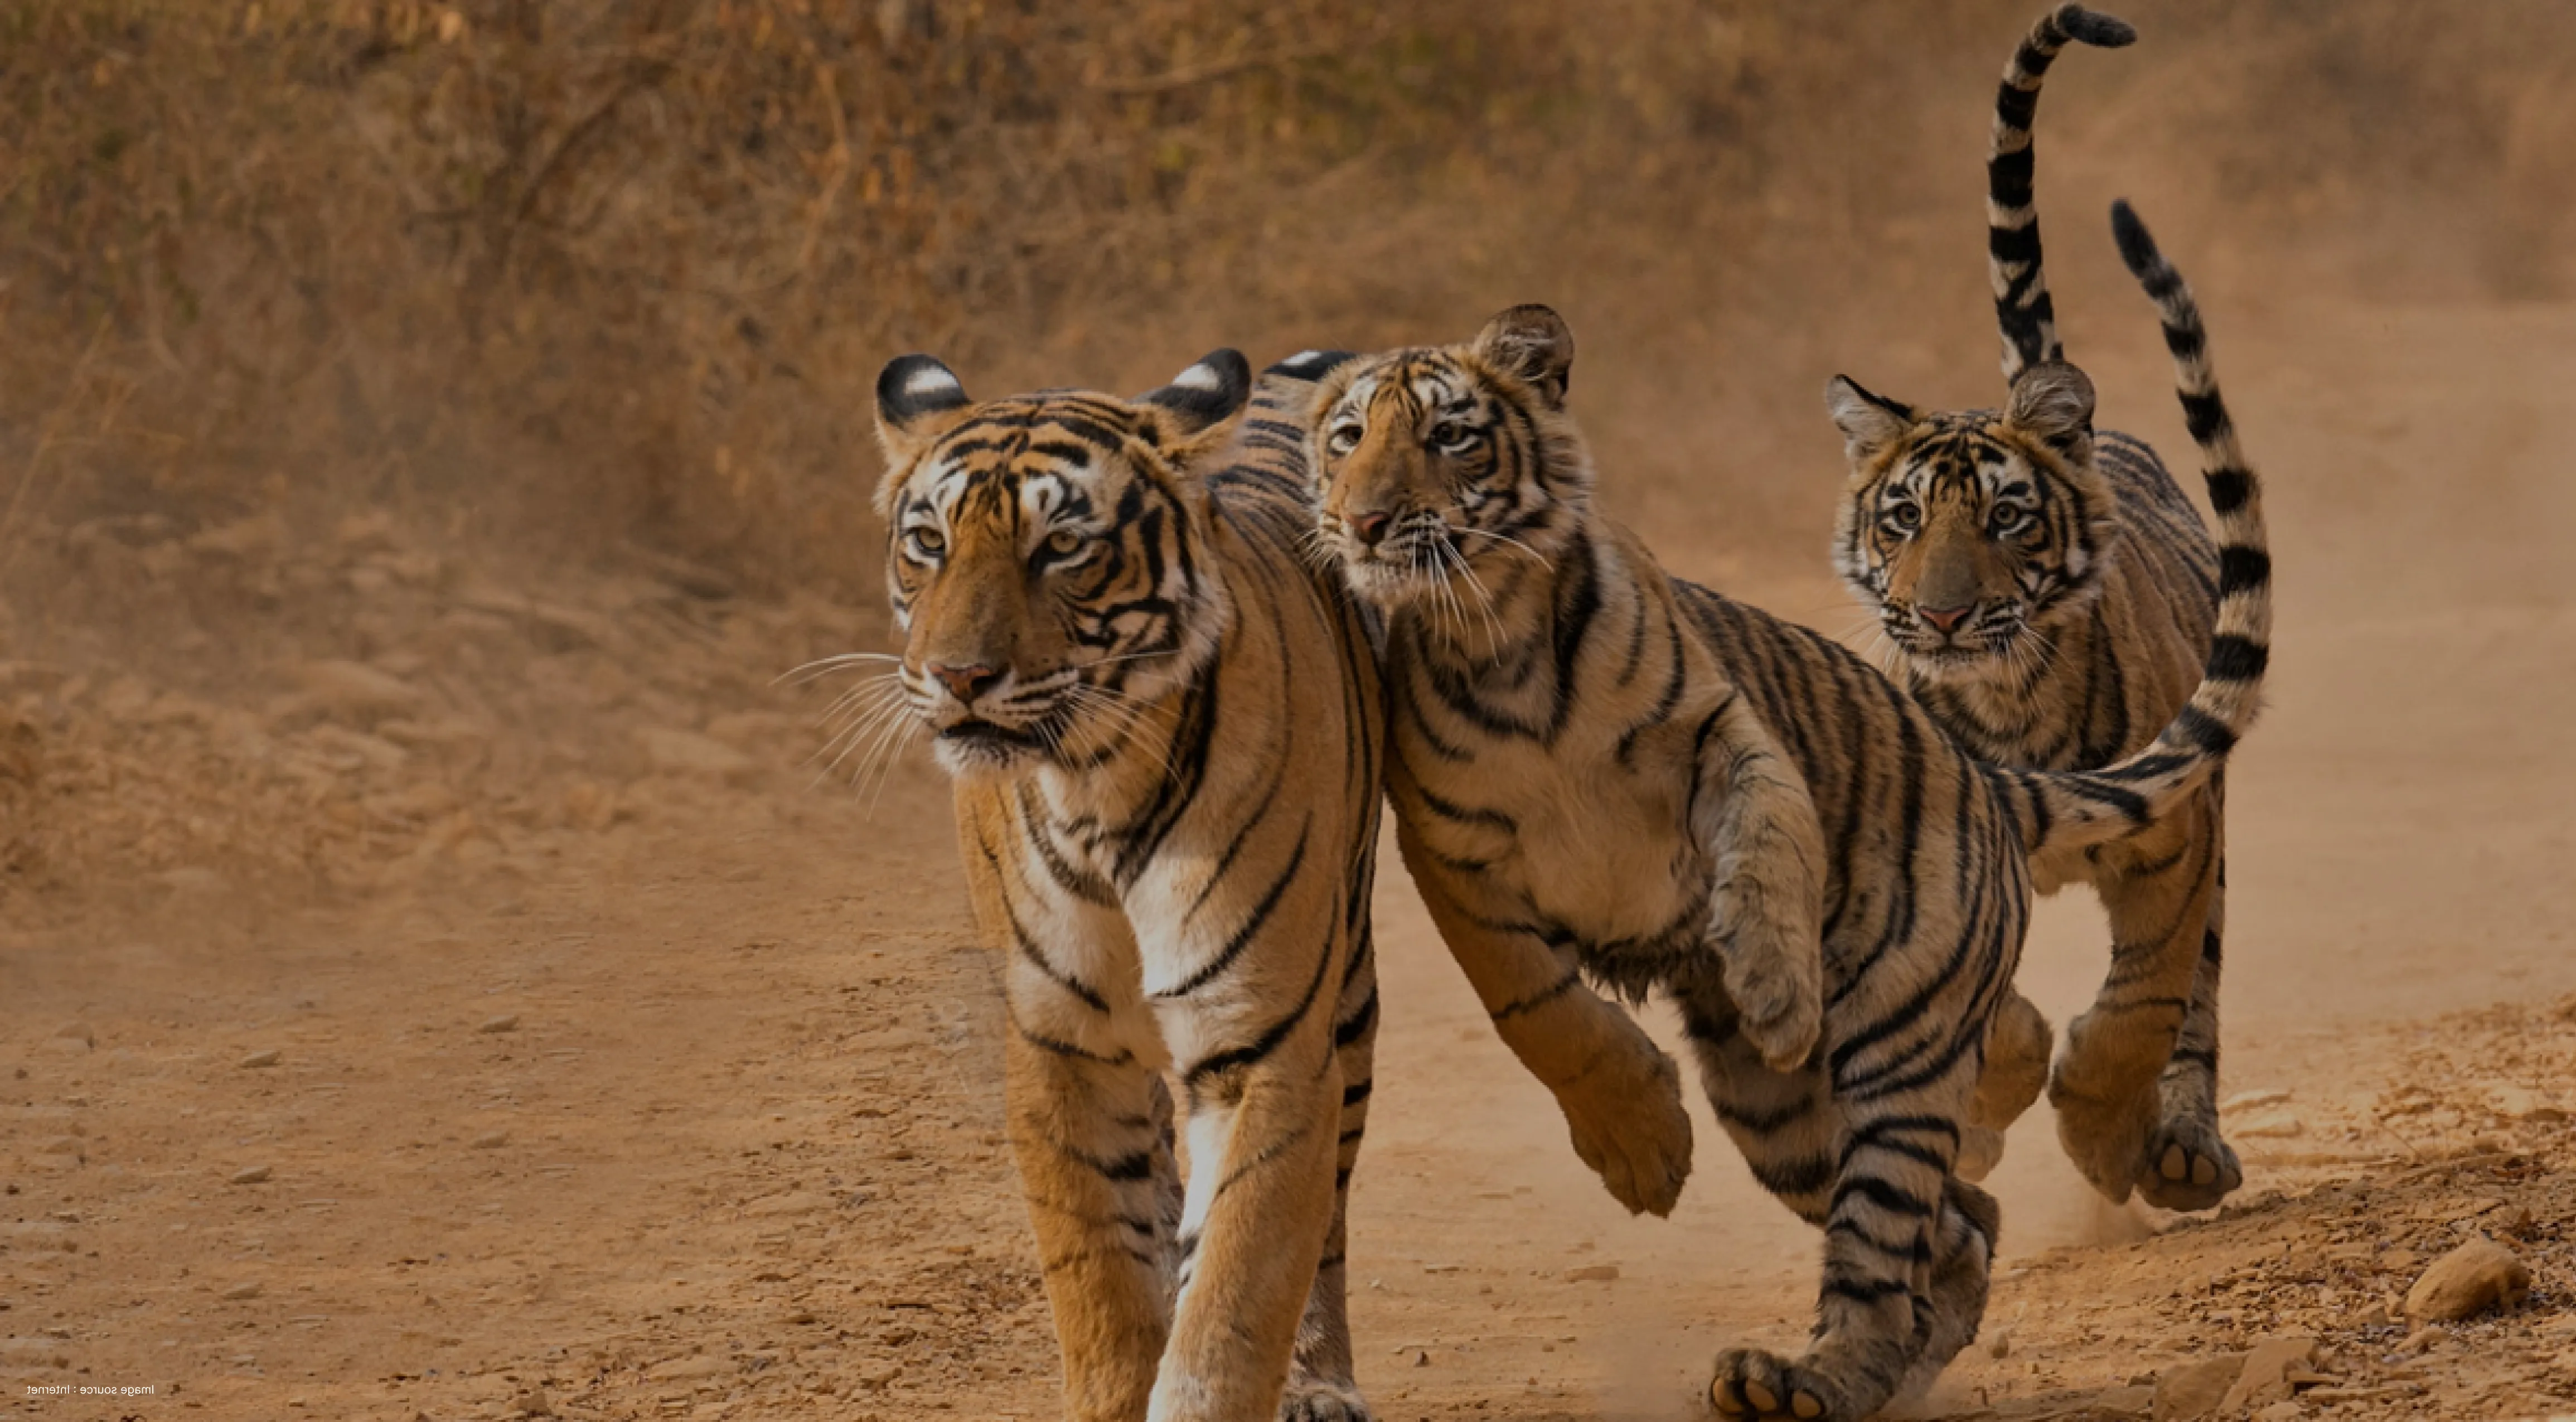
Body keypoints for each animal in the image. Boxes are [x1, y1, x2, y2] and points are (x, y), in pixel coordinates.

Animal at [871, 346, 1386, 1421]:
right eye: (929, 542)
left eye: (1063, 546)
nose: (958, 676)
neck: (1095, 787)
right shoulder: (1061, 1049)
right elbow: (1103, 1289)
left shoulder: (1266, 1049)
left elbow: (1233, 1303)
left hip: (1348, 1002)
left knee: (1321, 1224)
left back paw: (1320, 1382)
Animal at [1303, 283, 2268, 1420]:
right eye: (1348, 439)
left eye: (1449, 436)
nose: (1364, 520)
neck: (1498, 636)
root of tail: (1984, 780)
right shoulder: (1449, 856)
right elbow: (1539, 1009)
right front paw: (1641, 1149)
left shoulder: (1726, 729)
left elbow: (1768, 838)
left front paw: (1772, 988)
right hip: (1783, 1122)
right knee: (1958, 1228)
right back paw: (1826, 1378)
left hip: (1899, 1050)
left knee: (1894, 1236)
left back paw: (1810, 1377)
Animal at [1829, 2, 2250, 1213]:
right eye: (1902, 518)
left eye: (2005, 517)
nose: (1942, 619)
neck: (2008, 701)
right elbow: (1986, 1016)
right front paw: (1990, 1108)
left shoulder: (2175, 839)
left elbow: (2140, 1007)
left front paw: (2103, 1138)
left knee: (2197, 996)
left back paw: (2182, 1149)